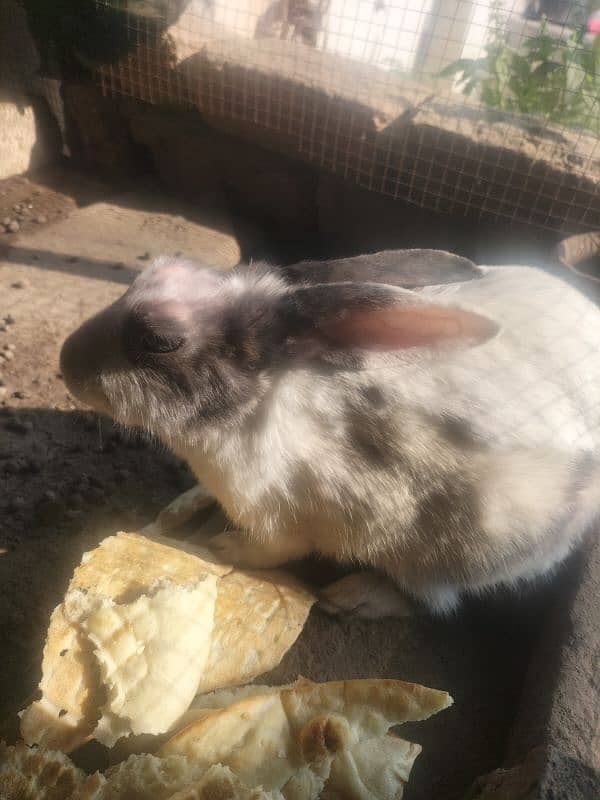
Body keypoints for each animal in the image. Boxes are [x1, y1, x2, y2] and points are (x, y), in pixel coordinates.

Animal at [58, 250, 600, 620]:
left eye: (159, 340)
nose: (65, 362)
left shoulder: (282, 521)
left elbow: (271, 550)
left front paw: (222, 549)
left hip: (473, 547)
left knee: (435, 598)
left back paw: (353, 597)